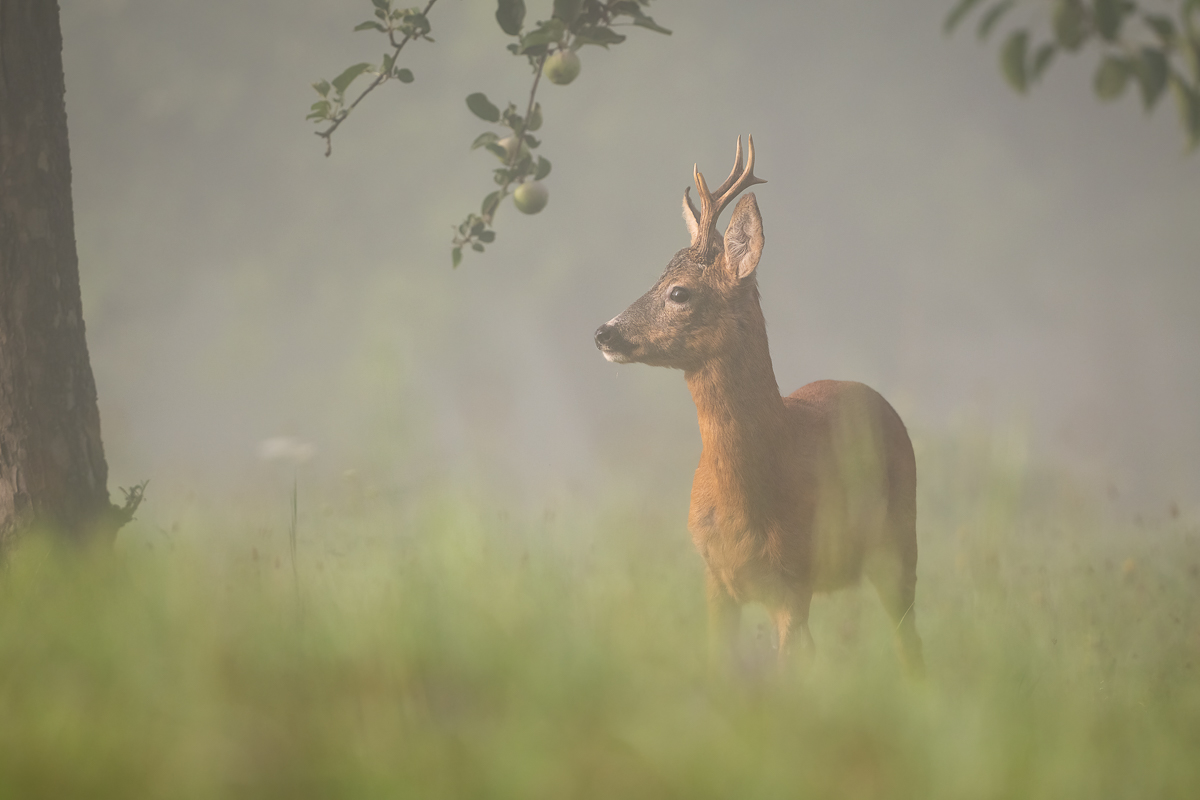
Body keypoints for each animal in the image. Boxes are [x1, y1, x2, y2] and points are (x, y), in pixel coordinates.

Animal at [595, 136, 921, 676]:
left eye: (679, 292)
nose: (603, 332)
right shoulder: (714, 578)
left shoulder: (794, 575)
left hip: (900, 540)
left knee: (907, 638)